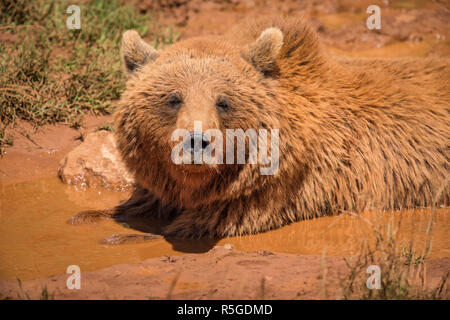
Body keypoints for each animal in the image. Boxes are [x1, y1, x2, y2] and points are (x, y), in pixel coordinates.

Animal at [71, 16, 450, 238]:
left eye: (223, 101)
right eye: (174, 98)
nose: (196, 142)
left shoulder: (277, 195)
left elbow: (190, 226)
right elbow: (137, 203)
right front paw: (87, 216)